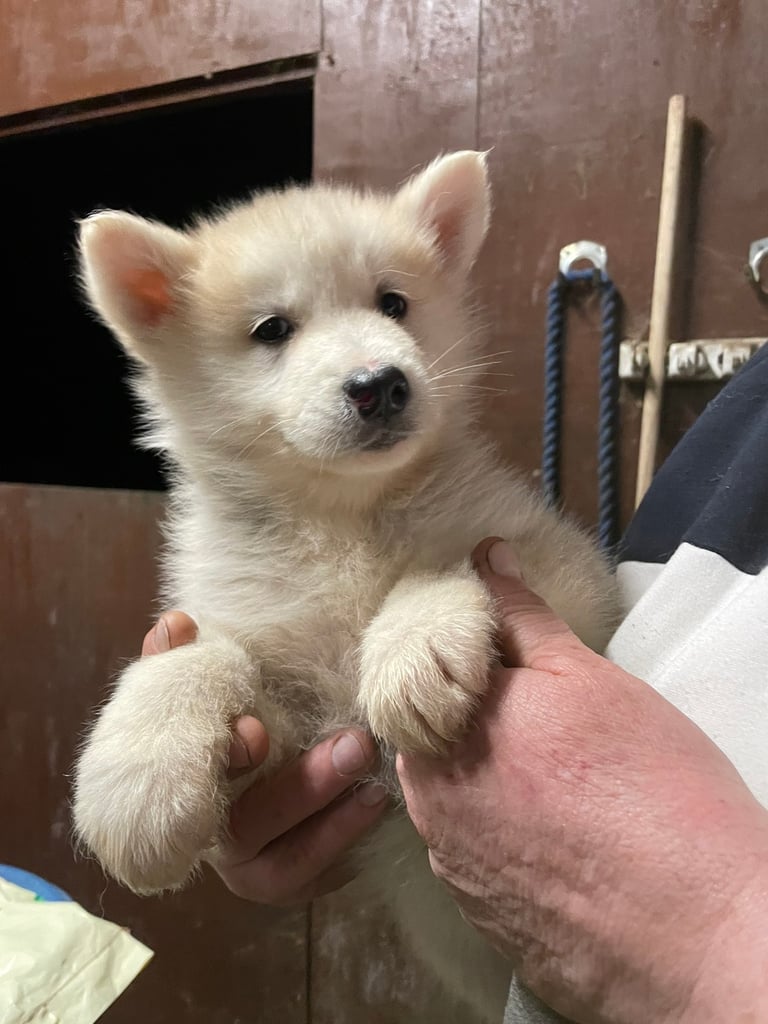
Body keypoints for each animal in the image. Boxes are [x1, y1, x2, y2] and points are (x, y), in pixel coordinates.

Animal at [75, 153, 622, 1024]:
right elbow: (199, 656)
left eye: (392, 302)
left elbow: (452, 562)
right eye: (273, 330)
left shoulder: (571, 570)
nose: (380, 384)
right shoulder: (290, 728)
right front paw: (138, 771)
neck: (341, 521)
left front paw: (414, 643)